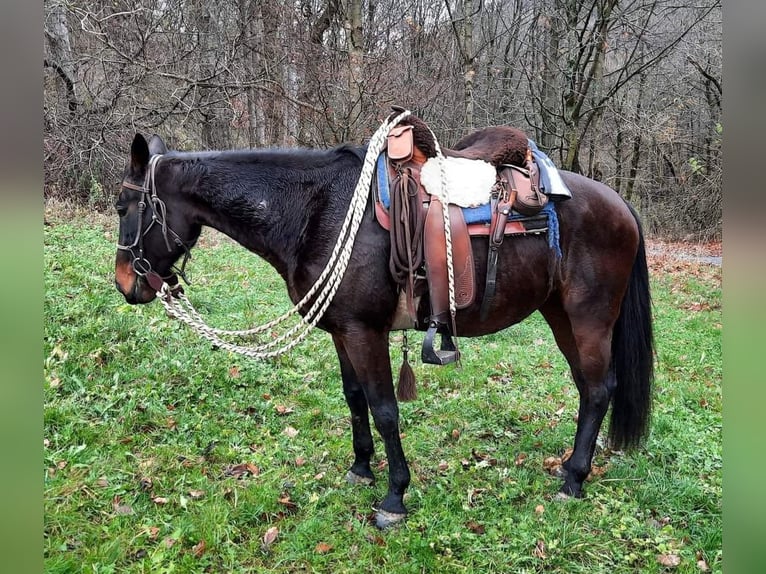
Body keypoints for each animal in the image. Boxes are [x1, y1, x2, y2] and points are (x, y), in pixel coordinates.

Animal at [114, 128, 656, 528]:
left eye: (124, 207)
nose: (123, 283)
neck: (317, 211)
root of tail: (620, 204)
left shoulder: (364, 331)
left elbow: (385, 409)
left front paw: (395, 497)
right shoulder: (341, 331)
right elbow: (355, 398)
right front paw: (360, 469)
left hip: (588, 317)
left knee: (598, 389)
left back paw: (573, 480)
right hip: (560, 314)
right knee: (588, 388)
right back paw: (571, 469)